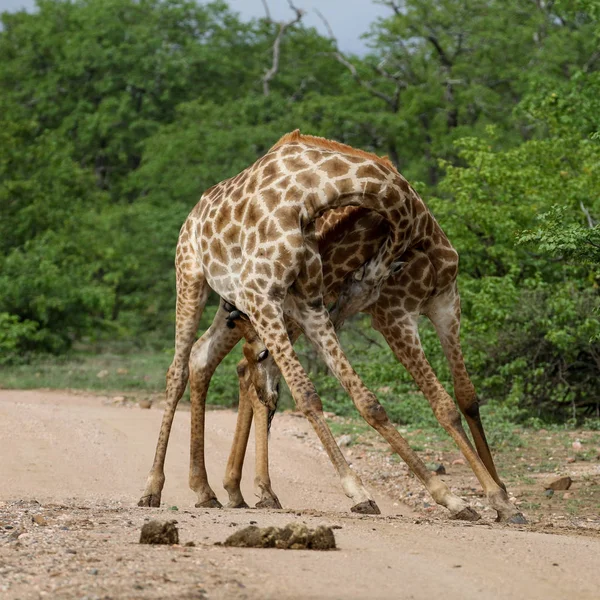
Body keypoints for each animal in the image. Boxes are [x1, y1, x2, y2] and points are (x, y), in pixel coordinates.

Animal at [139, 130, 520, 520]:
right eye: (366, 284)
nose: (341, 307)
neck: (310, 192)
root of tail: (193, 212)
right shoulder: (381, 312)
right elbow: (311, 394)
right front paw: (361, 490)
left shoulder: (436, 304)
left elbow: (448, 397)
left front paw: (494, 496)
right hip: (194, 279)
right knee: (183, 371)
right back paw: (157, 487)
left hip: (237, 303)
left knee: (208, 360)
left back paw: (215, 490)